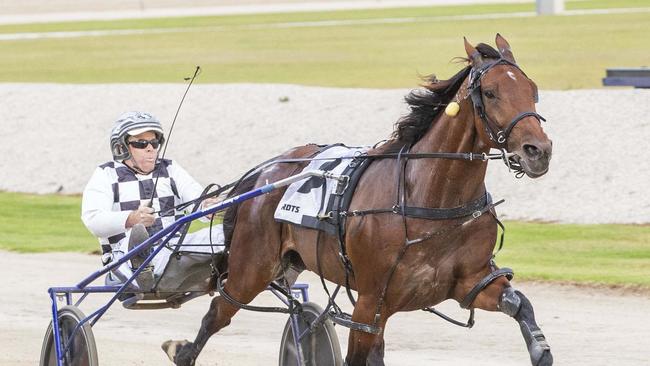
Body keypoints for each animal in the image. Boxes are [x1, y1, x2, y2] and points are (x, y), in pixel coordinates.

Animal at [162, 33, 552, 364]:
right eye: (491, 92)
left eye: (533, 90)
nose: (538, 151)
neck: (430, 199)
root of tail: (265, 173)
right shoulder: (371, 302)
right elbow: (358, 353)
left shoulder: (469, 282)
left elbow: (519, 304)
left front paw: (540, 350)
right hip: (253, 267)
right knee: (218, 311)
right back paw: (182, 351)